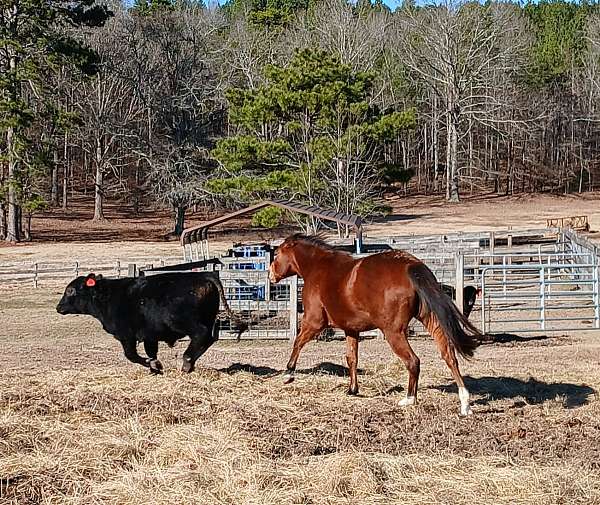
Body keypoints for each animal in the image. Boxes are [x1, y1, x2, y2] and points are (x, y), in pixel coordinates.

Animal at [54, 272, 246, 374]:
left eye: (70, 290)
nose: (58, 307)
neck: (108, 296)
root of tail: (205, 275)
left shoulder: (127, 335)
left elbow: (131, 355)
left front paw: (153, 365)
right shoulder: (149, 336)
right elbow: (151, 353)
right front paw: (155, 368)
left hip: (186, 322)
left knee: (201, 335)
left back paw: (186, 362)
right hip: (208, 318)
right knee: (210, 338)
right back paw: (190, 363)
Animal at [270, 232, 480, 414]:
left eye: (277, 254)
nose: (271, 276)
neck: (317, 267)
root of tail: (411, 265)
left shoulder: (313, 322)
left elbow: (297, 342)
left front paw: (288, 374)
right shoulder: (351, 329)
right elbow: (351, 358)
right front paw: (352, 389)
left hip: (393, 332)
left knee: (413, 361)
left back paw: (409, 399)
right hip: (431, 321)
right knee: (449, 356)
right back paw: (465, 404)